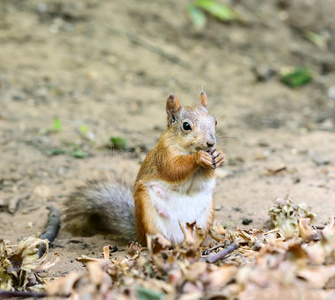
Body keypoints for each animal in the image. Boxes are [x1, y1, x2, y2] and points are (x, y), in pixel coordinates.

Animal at [63, 92, 226, 246]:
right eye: (186, 126)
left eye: (215, 121)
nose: (211, 143)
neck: (187, 149)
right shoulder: (163, 156)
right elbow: (173, 169)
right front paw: (199, 157)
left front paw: (219, 155)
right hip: (147, 212)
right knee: (152, 238)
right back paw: (163, 243)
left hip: (205, 217)